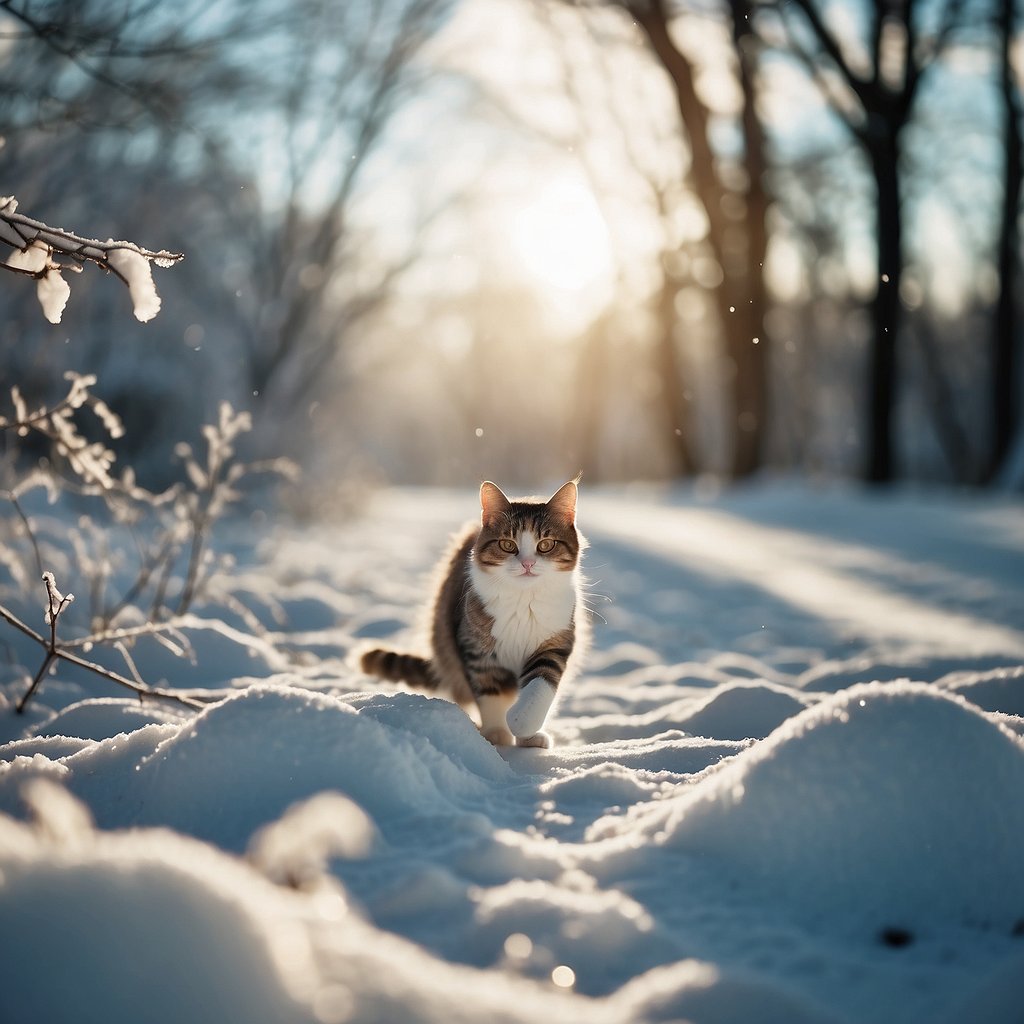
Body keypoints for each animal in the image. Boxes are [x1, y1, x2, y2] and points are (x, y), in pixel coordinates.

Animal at [360, 475, 589, 749]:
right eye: (507, 544)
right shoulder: (476, 651)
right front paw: (497, 733)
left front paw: (523, 727)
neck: (523, 601)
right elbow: (490, 694)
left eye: (545, 545)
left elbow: (540, 686)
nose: (527, 563)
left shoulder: (555, 642)